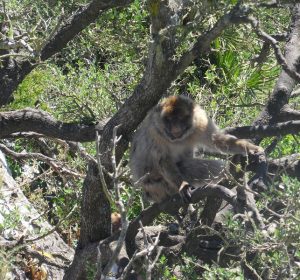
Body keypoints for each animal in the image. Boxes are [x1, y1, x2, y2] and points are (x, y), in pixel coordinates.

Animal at [130, 94, 264, 203]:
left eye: (180, 119)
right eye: (169, 120)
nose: (175, 129)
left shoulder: (200, 121)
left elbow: (217, 139)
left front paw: (250, 148)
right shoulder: (154, 132)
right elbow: (163, 160)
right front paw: (183, 186)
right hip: (157, 187)